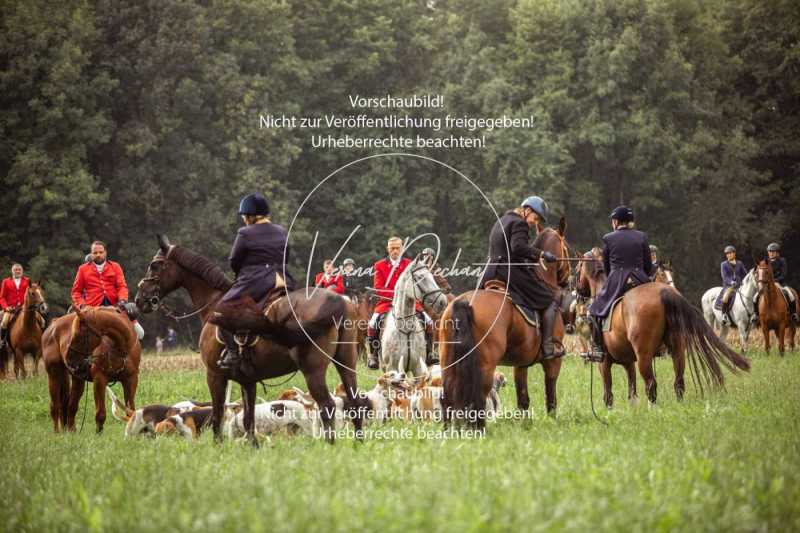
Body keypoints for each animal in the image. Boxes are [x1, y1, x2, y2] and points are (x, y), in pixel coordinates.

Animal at [42, 304, 141, 432]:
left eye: (78, 337)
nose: (69, 359)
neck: (120, 348)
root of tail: (52, 326)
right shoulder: (99, 380)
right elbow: (100, 413)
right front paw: (98, 432)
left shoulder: (131, 380)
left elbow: (130, 410)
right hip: (54, 375)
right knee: (55, 406)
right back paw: (57, 432)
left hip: (77, 379)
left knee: (71, 406)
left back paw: (71, 431)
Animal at [138, 235, 372, 446]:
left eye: (154, 266)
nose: (141, 299)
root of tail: (337, 301)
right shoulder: (248, 381)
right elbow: (248, 418)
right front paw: (253, 446)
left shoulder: (215, 376)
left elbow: (217, 414)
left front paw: (218, 447)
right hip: (346, 362)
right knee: (354, 401)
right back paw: (358, 444)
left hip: (313, 369)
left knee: (327, 405)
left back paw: (329, 445)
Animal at [440, 218, 572, 426]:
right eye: (565, 248)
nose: (568, 281)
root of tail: (464, 302)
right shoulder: (553, 362)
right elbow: (551, 397)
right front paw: (552, 422)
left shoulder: (521, 364)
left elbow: (523, 399)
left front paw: (525, 426)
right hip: (486, 365)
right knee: (479, 398)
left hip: (448, 360)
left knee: (447, 398)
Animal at [576, 251, 752, 406]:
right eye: (662, 274)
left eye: (577, 269)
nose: (578, 293)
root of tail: (665, 292)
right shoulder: (628, 362)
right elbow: (632, 393)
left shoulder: (604, 363)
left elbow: (608, 394)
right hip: (678, 349)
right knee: (678, 382)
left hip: (644, 356)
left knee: (651, 385)